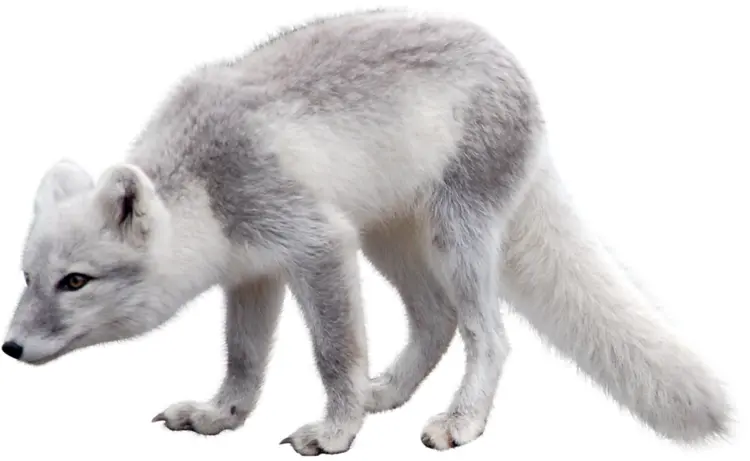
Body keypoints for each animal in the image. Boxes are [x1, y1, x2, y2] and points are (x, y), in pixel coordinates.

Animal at [2, 8, 731, 456]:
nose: (9, 347)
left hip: (454, 237)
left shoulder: (317, 243)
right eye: (29, 278)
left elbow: (334, 353)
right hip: (389, 240)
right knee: (436, 319)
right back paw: (391, 394)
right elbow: (243, 360)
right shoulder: (253, 272)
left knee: (488, 335)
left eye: (76, 282)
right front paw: (220, 417)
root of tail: (507, 59)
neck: (204, 178)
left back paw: (462, 421)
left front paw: (335, 431)